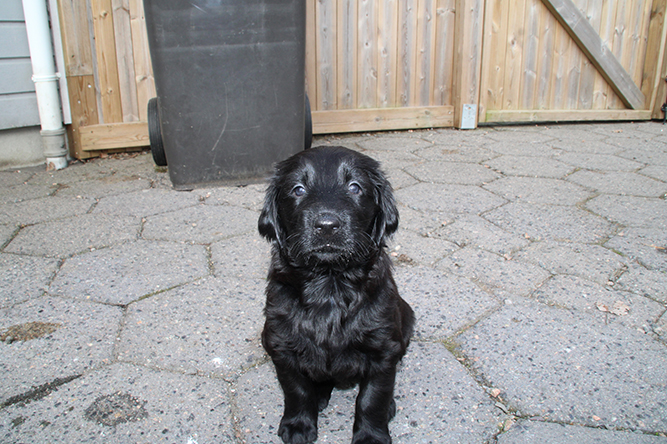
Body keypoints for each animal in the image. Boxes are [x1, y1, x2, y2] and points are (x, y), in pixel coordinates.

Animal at [258, 145, 414, 444]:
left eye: (354, 187)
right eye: (298, 189)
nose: (327, 225)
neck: (330, 284)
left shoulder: (383, 347)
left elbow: (372, 397)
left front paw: (371, 436)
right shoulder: (282, 345)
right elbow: (296, 390)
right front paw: (298, 426)